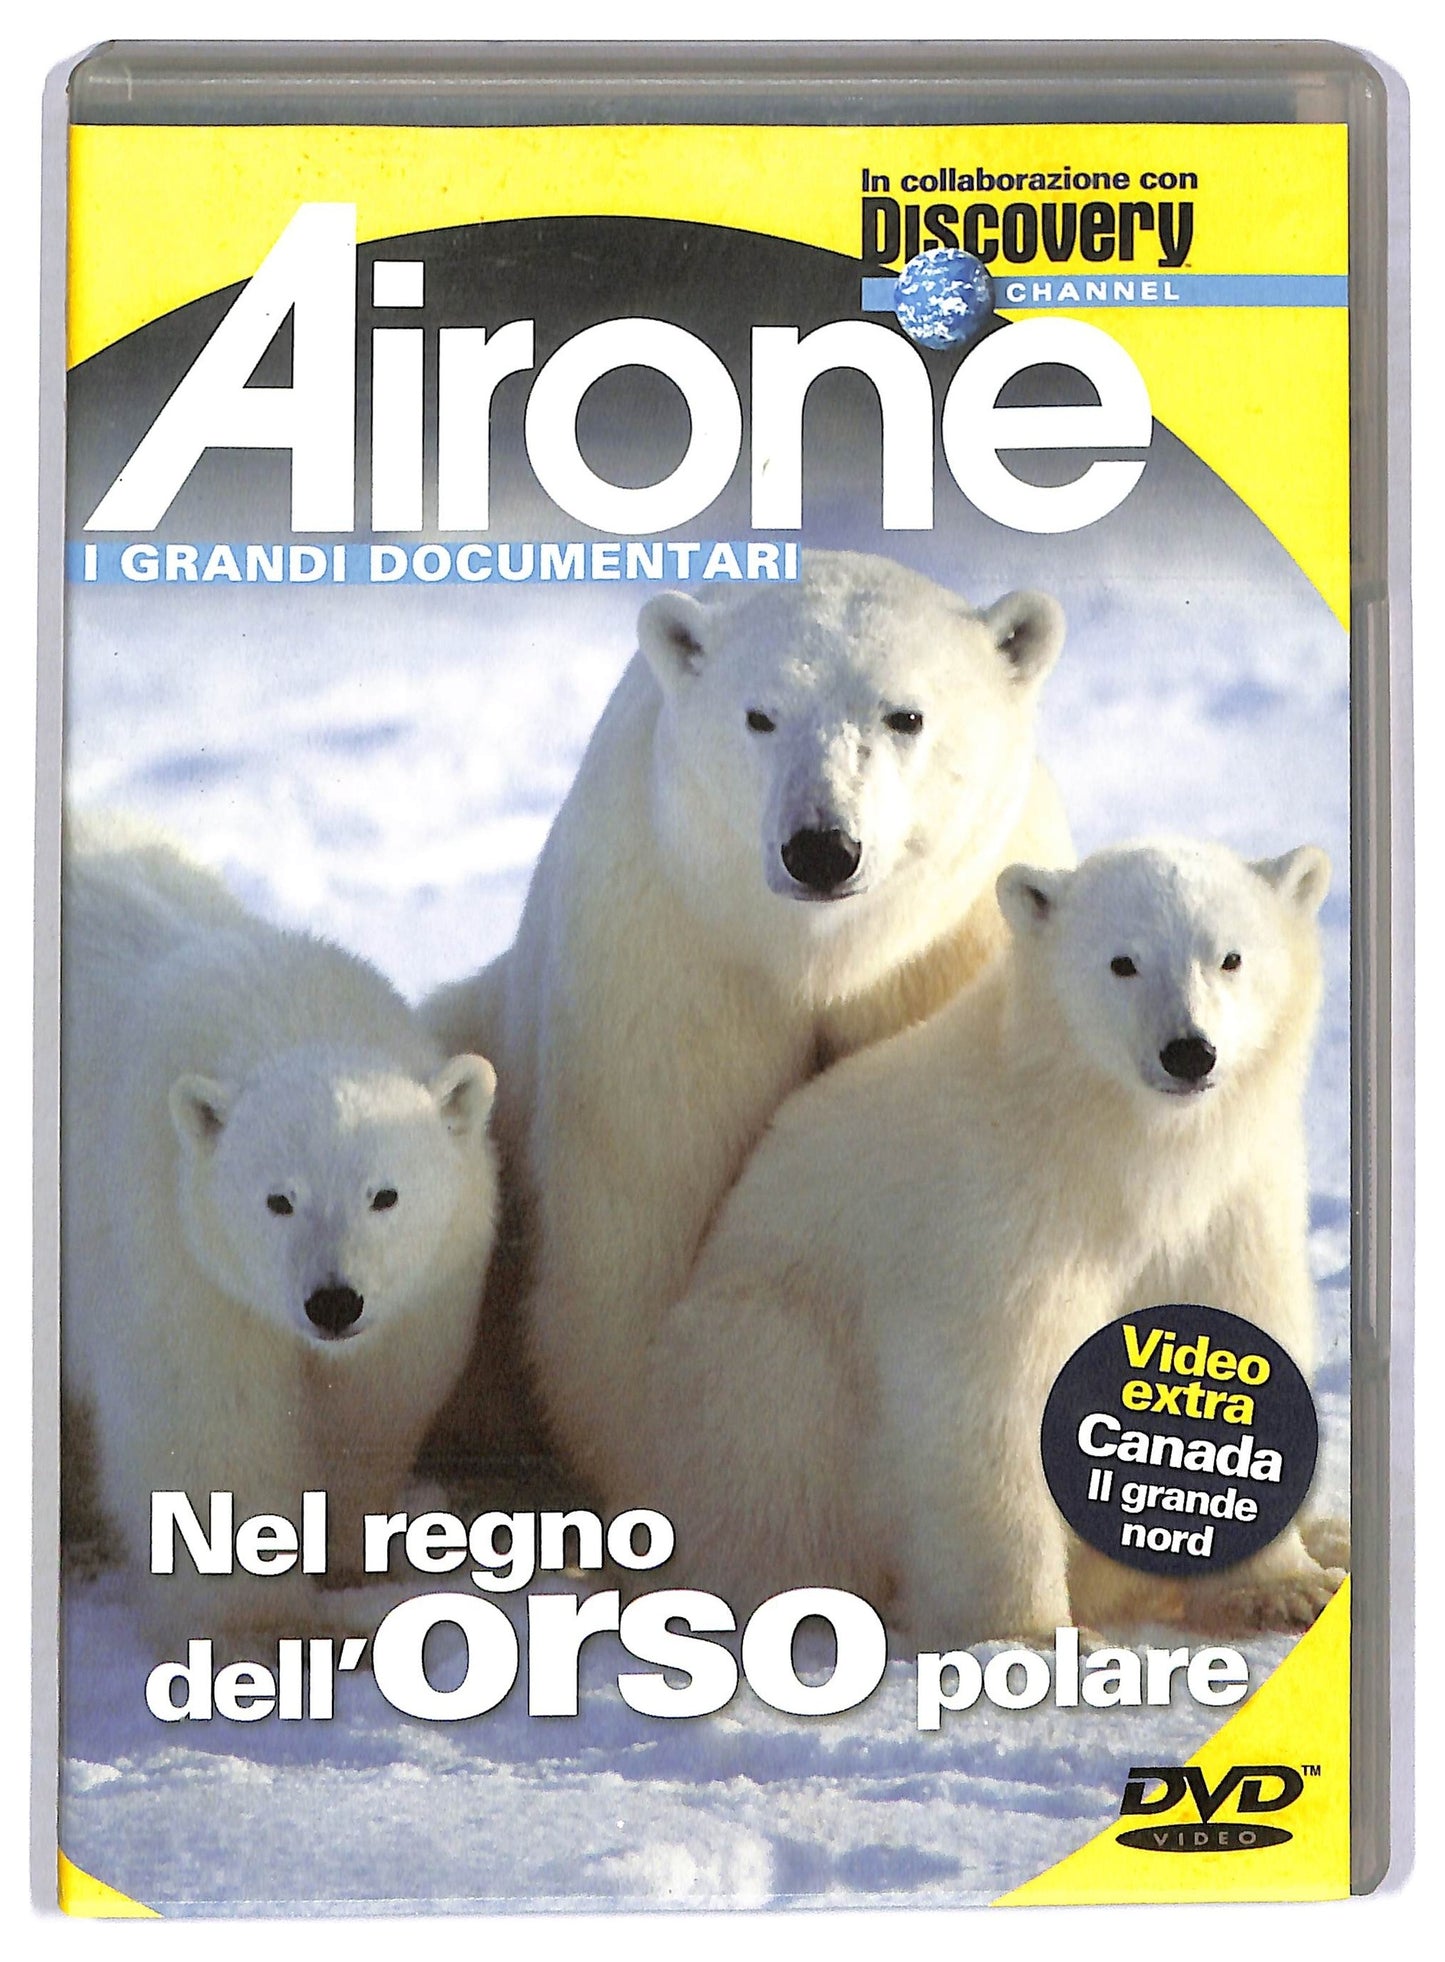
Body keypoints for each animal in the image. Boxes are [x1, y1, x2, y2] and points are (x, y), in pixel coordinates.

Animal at [61, 813, 501, 1641]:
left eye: (384, 1195)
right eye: (278, 1200)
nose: (333, 1301)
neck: (285, 1011)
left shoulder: (419, 1296)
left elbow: (366, 1410)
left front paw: (353, 1559)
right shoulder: (176, 1253)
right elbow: (210, 1425)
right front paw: (262, 1627)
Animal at [423, 550, 1072, 1495]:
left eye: (905, 714)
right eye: (759, 714)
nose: (821, 847)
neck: (817, 956)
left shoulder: (949, 954)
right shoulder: (675, 961)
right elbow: (637, 1225)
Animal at [633, 838, 1343, 1649]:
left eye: (1229, 956)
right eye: (1121, 961)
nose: (1188, 1052)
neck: (1119, 1149)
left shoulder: (1230, 1205)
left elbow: (1235, 1347)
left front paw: (1284, 1589)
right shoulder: (1000, 1215)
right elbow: (990, 1397)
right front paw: (1030, 1634)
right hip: (762, 1361)